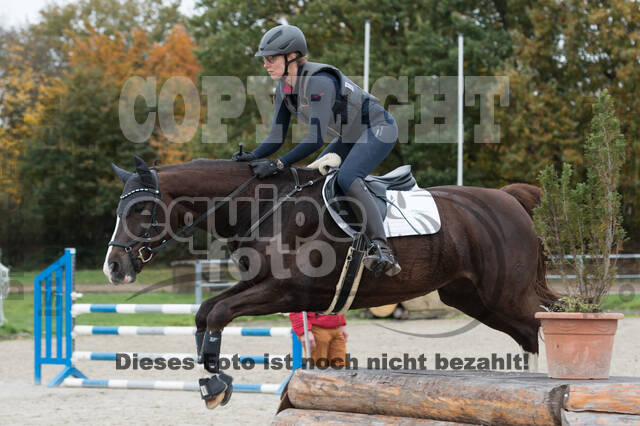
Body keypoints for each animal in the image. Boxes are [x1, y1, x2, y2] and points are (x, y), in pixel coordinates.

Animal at [104, 157, 556, 410]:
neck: (265, 206)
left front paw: (216, 383)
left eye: (142, 210)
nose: (114, 268)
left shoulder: (285, 290)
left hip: (505, 294)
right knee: (531, 333)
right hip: (475, 297)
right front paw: (212, 380)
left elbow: (217, 313)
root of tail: (509, 198)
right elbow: (205, 312)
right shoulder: (259, 284)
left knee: (544, 324)